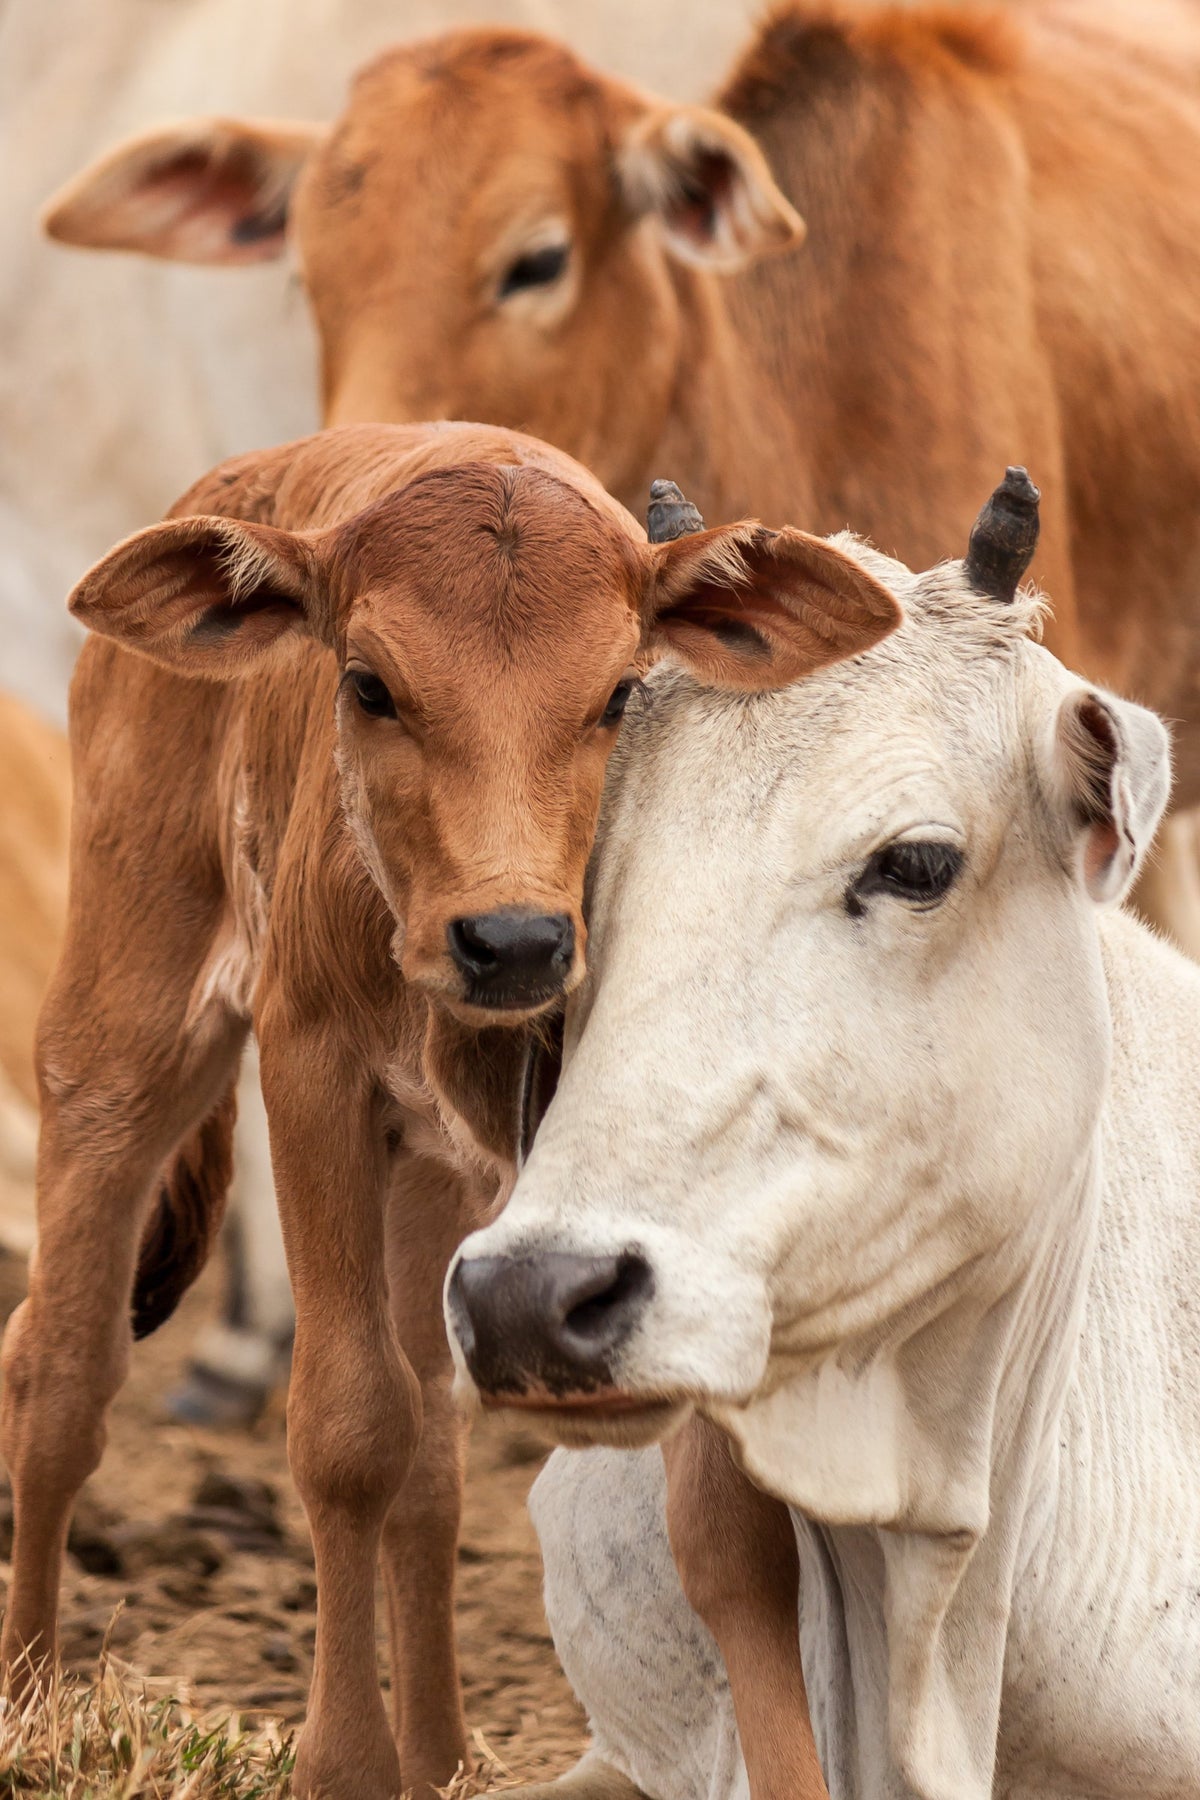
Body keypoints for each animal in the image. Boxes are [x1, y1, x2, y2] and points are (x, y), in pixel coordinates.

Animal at [0, 421, 898, 1800]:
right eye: (369, 684)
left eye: (621, 693)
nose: (513, 939)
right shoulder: (311, 1071)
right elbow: (345, 1426)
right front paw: (341, 1764)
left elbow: (723, 1520)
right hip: (123, 1029)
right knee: (62, 1363)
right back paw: (36, 1708)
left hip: (431, 1177)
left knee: (431, 1438)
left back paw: (441, 1753)